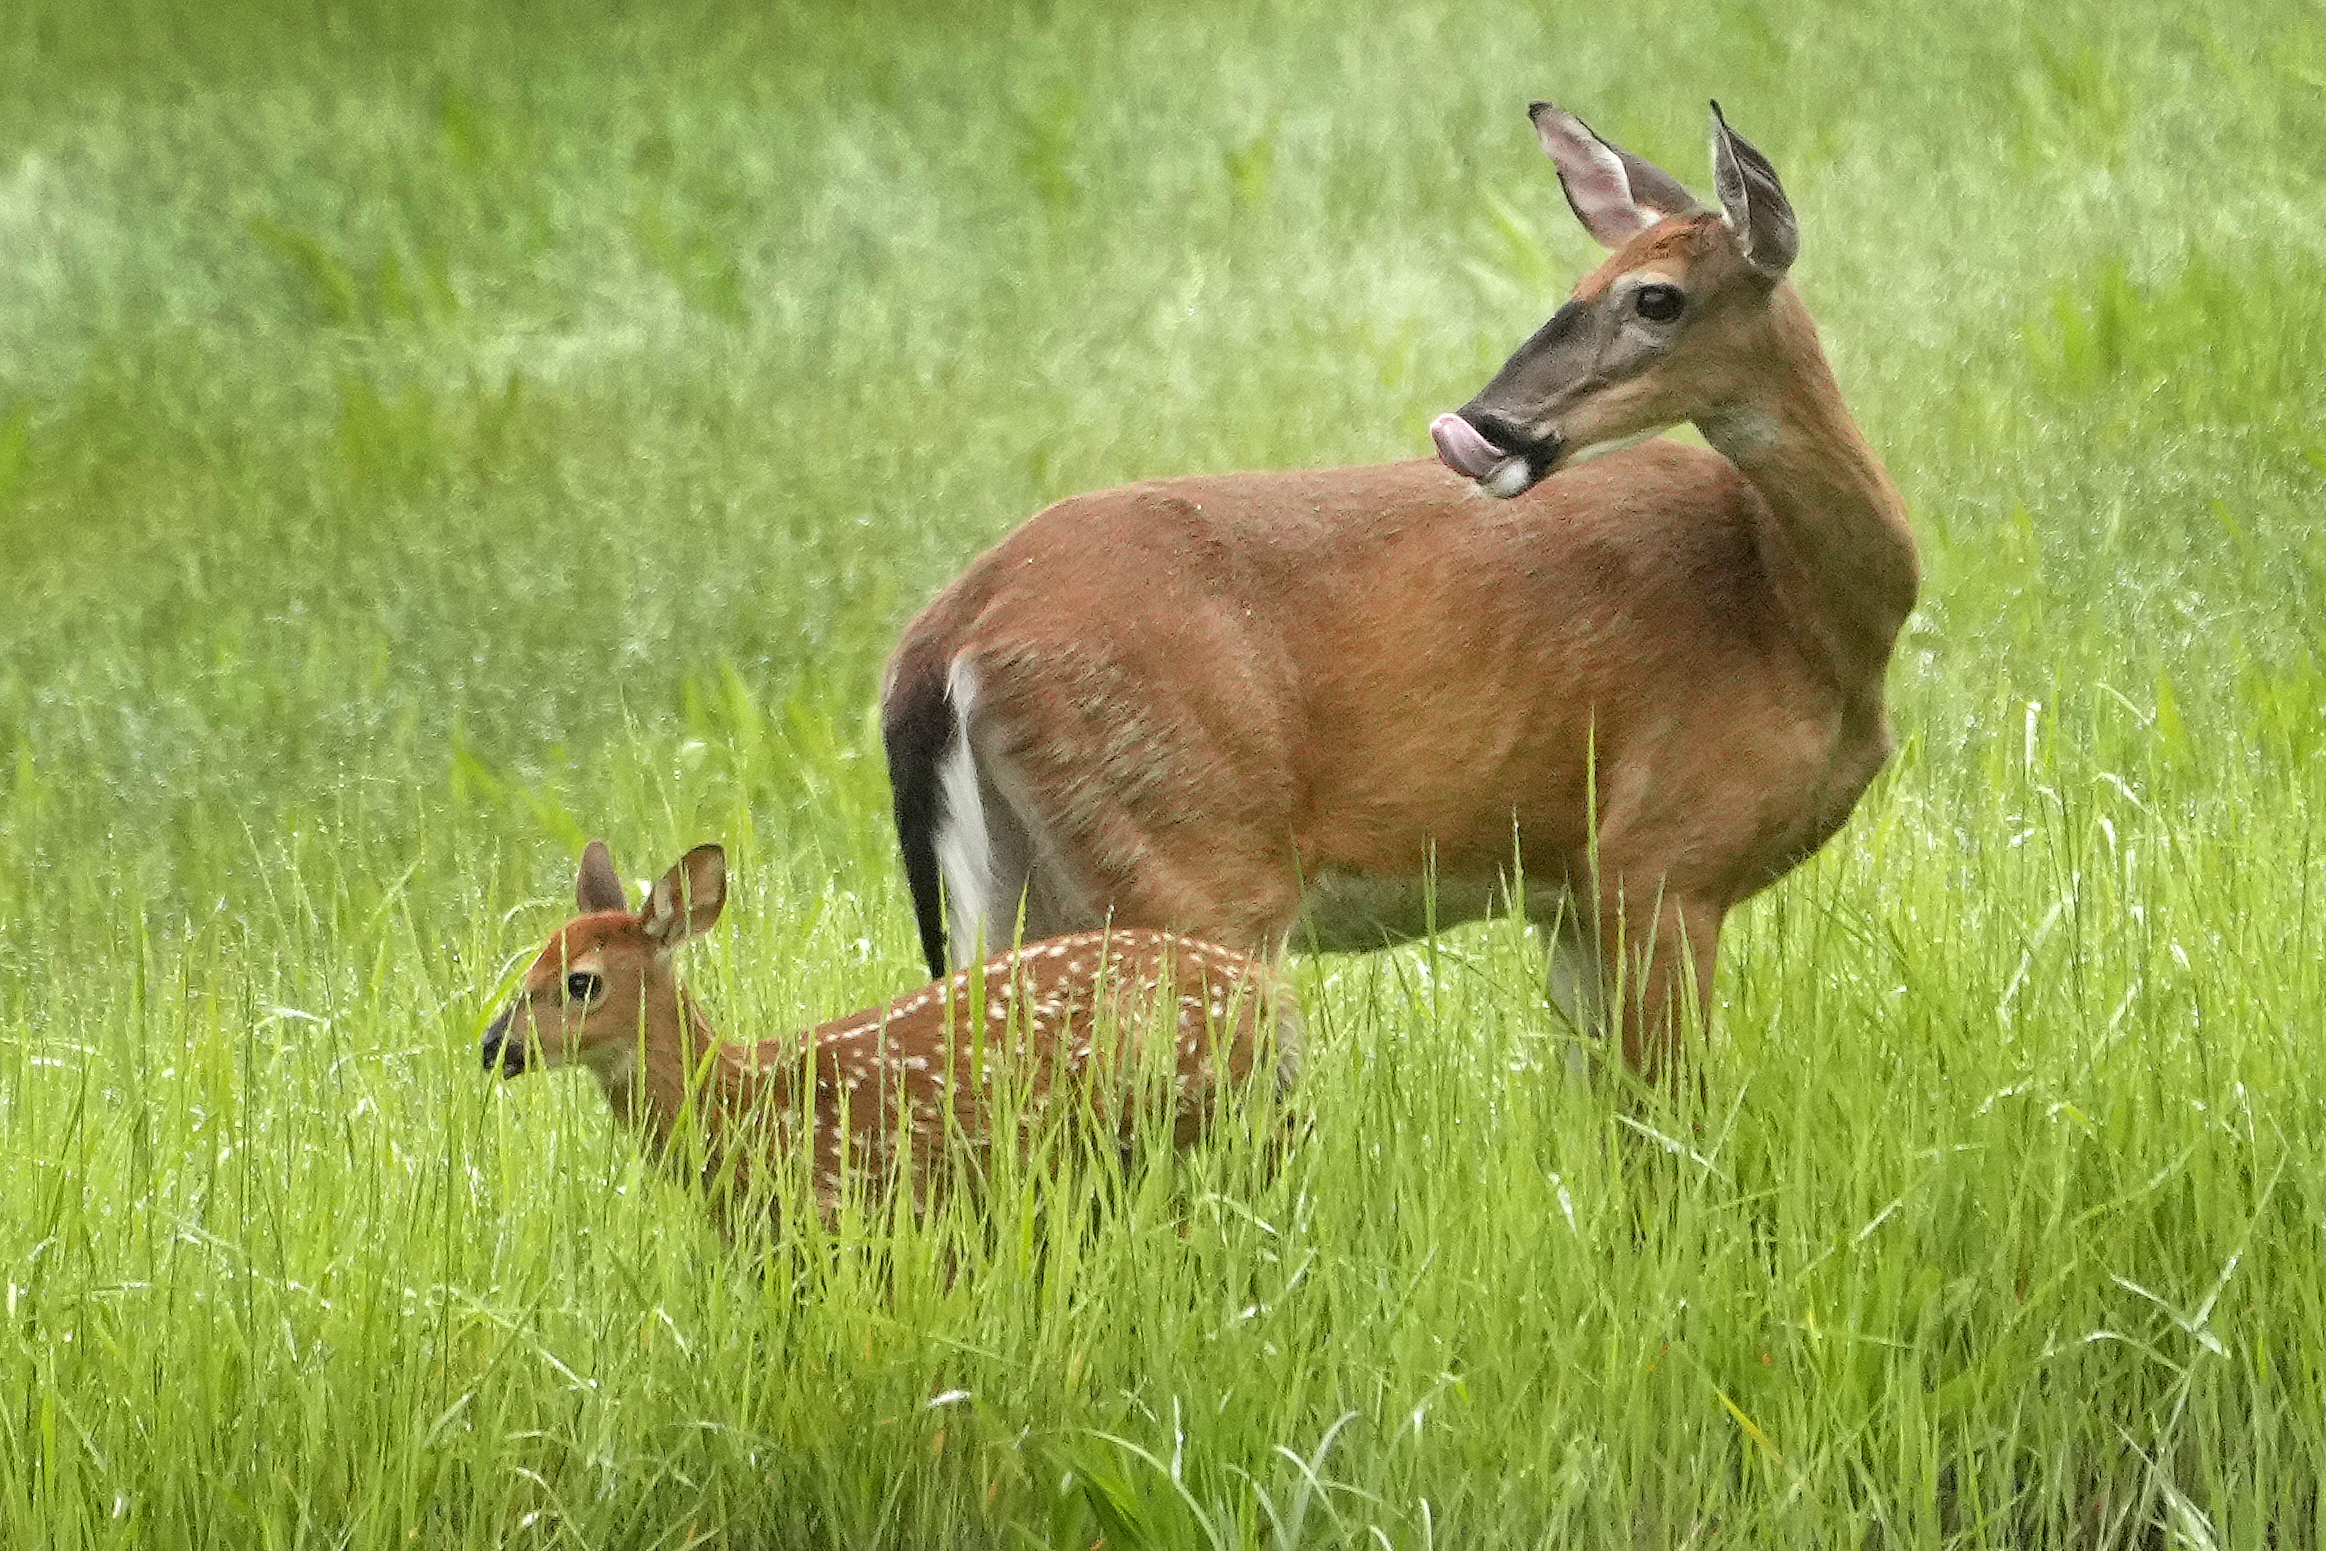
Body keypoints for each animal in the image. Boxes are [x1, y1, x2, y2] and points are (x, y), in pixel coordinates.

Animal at [880, 102, 1918, 1084]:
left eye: (1654, 296)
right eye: (1579, 290)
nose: (1481, 426)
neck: (1799, 614)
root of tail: (941, 640)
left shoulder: (1572, 896)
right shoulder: (1657, 859)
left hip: (1022, 892)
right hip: (1188, 867)